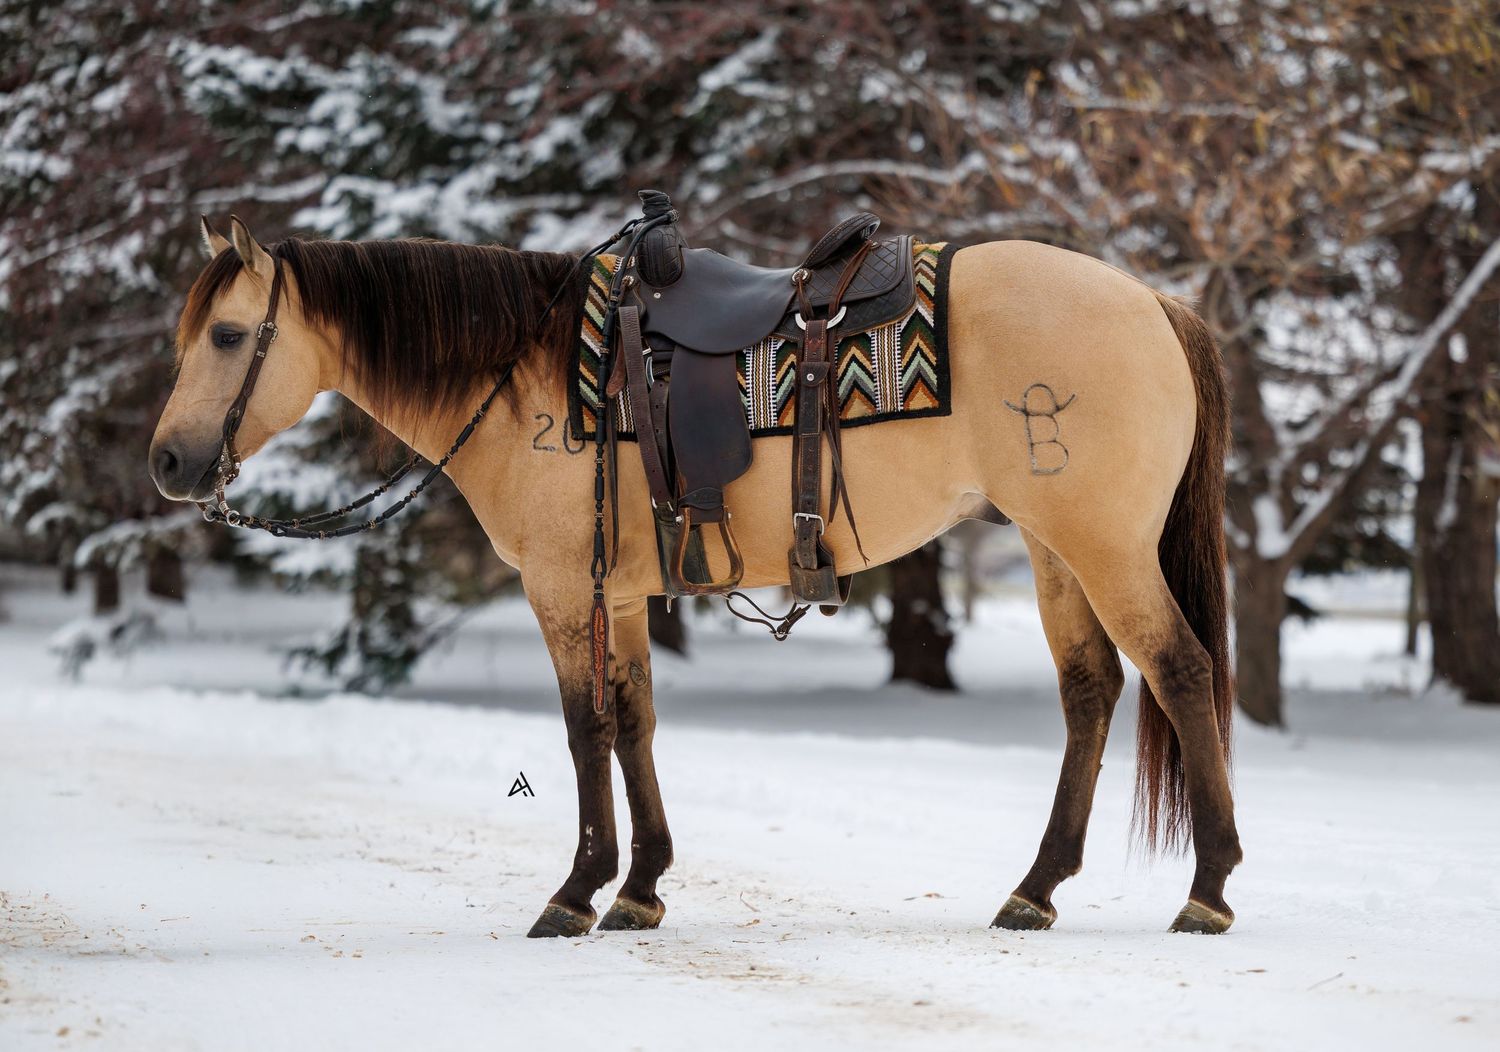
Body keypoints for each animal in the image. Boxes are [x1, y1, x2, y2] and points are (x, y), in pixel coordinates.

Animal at [148, 213, 1240, 938]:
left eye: (229, 336)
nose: (166, 462)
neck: (523, 369)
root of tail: (1153, 302)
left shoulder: (563, 588)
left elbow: (585, 729)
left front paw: (576, 890)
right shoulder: (625, 593)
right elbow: (635, 720)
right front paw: (641, 887)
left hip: (1103, 546)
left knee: (1181, 671)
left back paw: (1209, 887)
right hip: (1056, 548)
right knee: (1092, 690)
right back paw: (1037, 887)